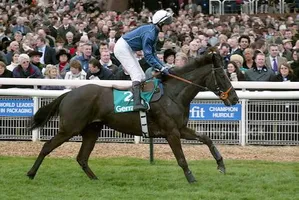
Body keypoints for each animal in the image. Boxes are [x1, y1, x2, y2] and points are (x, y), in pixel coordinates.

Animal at [27, 51, 239, 183]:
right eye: (222, 76)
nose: (235, 98)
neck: (173, 94)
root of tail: (69, 94)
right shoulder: (171, 132)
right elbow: (181, 158)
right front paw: (191, 177)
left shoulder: (181, 128)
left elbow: (206, 139)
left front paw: (221, 165)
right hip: (70, 128)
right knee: (47, 147)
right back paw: (30, 173)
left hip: (92, 129)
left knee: (82, 157)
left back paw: (95, 179)